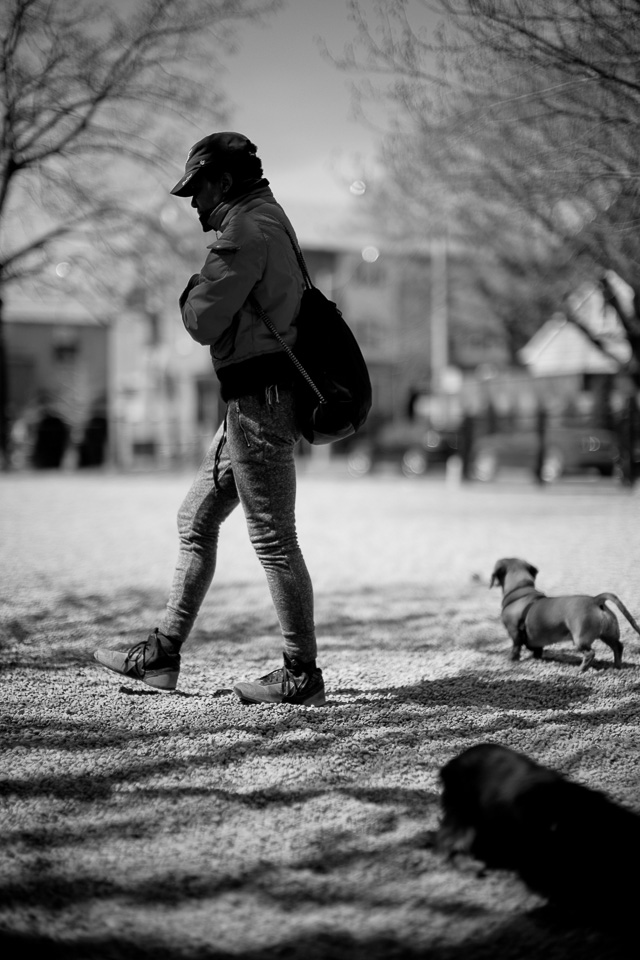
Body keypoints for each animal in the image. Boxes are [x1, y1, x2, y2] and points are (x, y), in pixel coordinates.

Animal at [490, 560, 640, 672]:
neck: (521, 590)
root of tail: (596, 600)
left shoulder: (514, 632)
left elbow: (516, 647)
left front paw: (512, 659)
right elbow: (537, 649)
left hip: (580, 640)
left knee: (590, 654)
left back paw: (580, 670)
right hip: (607, 635)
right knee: (618, 647)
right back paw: (617, 666)